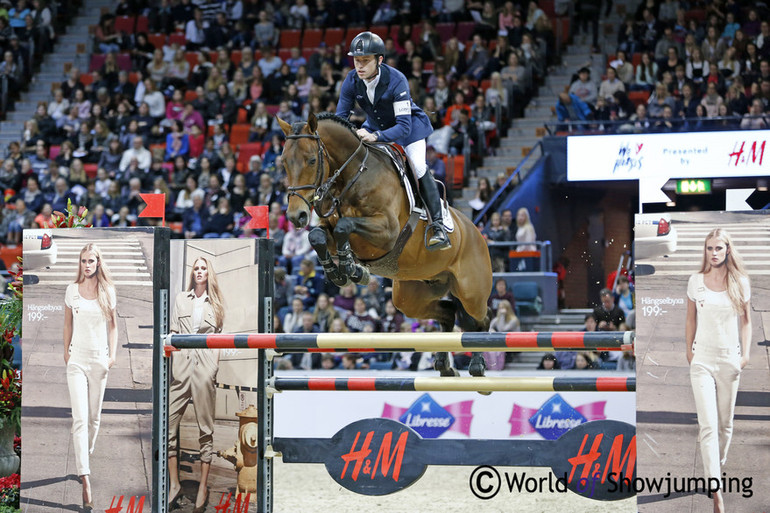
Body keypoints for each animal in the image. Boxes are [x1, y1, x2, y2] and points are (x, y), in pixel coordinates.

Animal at [276, 113, 492, 376]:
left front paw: (352, 269)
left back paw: (477, 364)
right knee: (448, 313)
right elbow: (317, 236)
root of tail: (475, 231)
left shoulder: (387, 231)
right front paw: (342, 272)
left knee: (479, 319)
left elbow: (344, 226)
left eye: (311, 160)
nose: (296, 216)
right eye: (284, 162)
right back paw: (445, 367)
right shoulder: (330, 227)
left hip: (471, 291)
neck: (353, 176)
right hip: (412, 296)